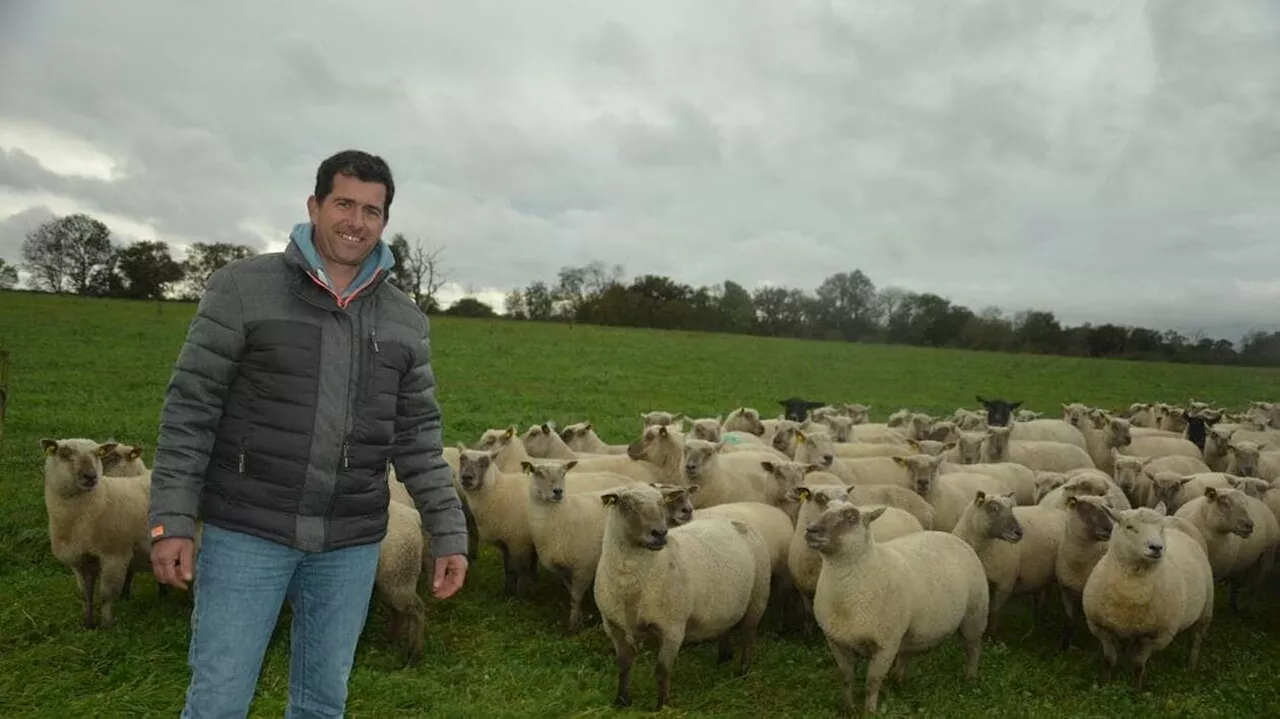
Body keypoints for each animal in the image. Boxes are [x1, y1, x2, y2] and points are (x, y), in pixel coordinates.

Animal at [40, 434, 153, 624]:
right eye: (64, 453)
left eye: (98, 454)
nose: (90, 476)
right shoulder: (79, 560)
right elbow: (85, 594)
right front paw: (88, 624)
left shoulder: (115, 556)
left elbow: (106, 596)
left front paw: (107, 625)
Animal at [591, 481, 768, 706]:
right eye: (627, 506)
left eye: (661, 503)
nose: (660, 533)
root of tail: (734, 520)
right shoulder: (612, 626)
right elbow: (623, 665)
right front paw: (621, 701)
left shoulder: (672, 628)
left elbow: (662, 671)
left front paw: (662, 706)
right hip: (726, 604)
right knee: (726, 627)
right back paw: (723, 659)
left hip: (758, 598)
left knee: (748, 636)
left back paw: (742, 672)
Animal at [798, 498, 988, 716]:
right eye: (826, 507)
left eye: (852, 517)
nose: (811, 530)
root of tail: (952, 537)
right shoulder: (836, 641)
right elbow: (846, 678)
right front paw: (847, 709)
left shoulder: (885, 645)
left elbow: (872, 683)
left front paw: (869, 712)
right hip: (913, 630)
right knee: (907, 652)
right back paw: (898, 680)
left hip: (975, 615)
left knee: (973, 649)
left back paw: (970, 679)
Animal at [957, 486, 1064, 632]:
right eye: (993, 509)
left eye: (1011, 508)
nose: (1019, 533)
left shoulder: (1005, 584)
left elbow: (993, 613)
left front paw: (991, 635)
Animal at [1080, 501, 1208, 685]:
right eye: (1129, 527)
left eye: (1160, 528)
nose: (1156, 547)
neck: (1132, 589)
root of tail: (1174, 523)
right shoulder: (1102, 628)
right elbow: (1109, 660)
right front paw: (1105, 683)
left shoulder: (1154, 636)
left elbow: (1138, 664)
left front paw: (1136, 688)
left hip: (1206, 609)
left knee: (1196, 640)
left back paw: (1190, 667)